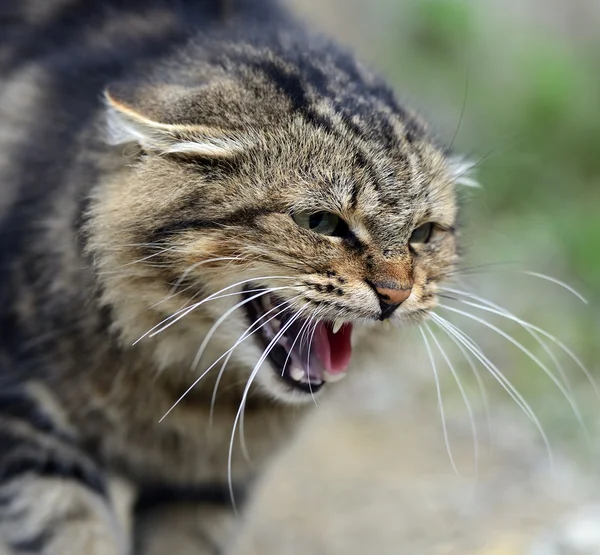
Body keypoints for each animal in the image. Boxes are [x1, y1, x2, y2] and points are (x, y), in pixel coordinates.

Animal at [1, 1, 464, 555]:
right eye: (321, 222)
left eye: (423, 234)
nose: (396, 293)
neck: (186, 394)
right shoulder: (23, 417)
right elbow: (72, 531)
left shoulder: (208, 482)